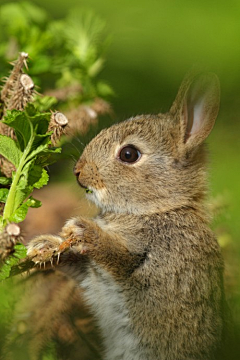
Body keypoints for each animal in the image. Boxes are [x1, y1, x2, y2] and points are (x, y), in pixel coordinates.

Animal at [27, 72, 228, 360]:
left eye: (129, 154)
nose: (78, 172)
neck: (156, 209)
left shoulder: (147, 261)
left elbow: (117, 256)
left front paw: (82, 230)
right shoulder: (91, 274)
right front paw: (43, 246)